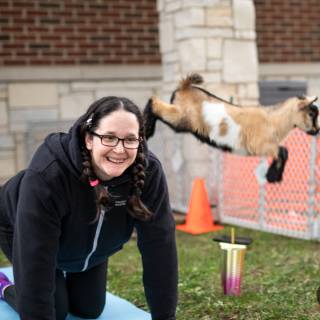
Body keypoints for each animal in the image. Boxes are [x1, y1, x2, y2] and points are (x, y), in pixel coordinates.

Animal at [145, 73, 320, 182]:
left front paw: (274, 177)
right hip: (183, 118)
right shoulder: (260, 145)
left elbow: (284, 152)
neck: (273, 121)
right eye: (312, 113)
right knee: (154, 102)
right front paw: (272, 177)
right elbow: (283, 152)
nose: (317, 130)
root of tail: (185, 86)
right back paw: (147, 130)